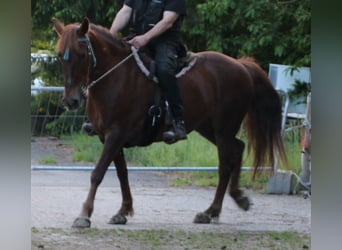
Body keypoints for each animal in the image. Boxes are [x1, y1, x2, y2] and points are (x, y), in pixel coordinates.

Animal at [52, 17, 286, 228]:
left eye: (82, 55)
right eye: (60, 56)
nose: (71, 101)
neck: (116, 76)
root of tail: (241, 65)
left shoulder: (115, 134)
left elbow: (97, 173)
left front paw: (84, 214)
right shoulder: (108, 137)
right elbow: (122, 174)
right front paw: (123, 211)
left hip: (223, 129)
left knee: (225, 164)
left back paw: (210, 211)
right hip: (208, 127)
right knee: (238, 149)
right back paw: (237, 198)